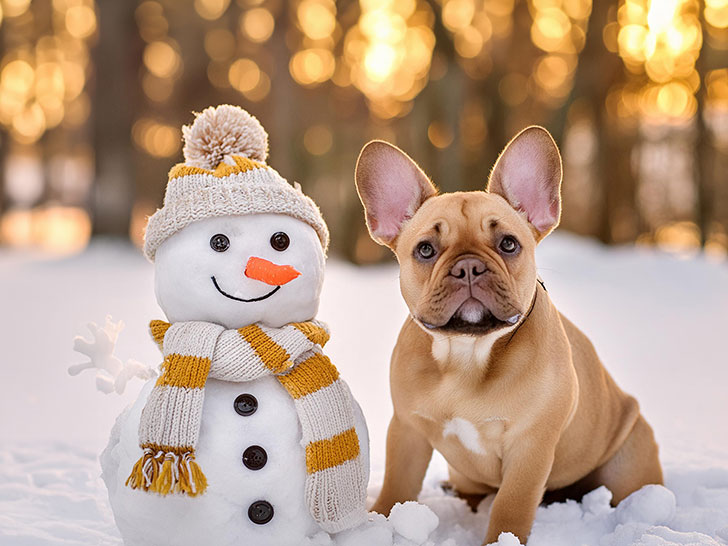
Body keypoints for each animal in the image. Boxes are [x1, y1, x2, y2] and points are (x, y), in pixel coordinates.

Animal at [356, 127, 664, 544]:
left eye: (508, 244)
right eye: (425, 250)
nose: (468, 267)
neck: (467, 354)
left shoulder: (530, 447)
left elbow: (511, 505)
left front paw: (502, 539)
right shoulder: (407, 430)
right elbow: (398, 485)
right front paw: (382, 523)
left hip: (627, 462)